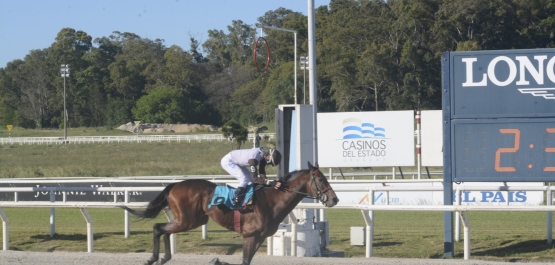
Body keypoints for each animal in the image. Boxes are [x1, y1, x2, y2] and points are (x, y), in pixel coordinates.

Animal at [121, 160, 338, 264]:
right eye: (321, 180)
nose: (335, 199)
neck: (272, 200)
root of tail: (174, 185)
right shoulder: (250, 235)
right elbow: (244, 261)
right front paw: (217, 260)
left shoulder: (259, 237)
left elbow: (246, 261)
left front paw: (218, 261)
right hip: (187, 220)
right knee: (159, 228)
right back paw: (153, 258)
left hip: (192, 220)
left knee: (164, 229)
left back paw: (164, 258)